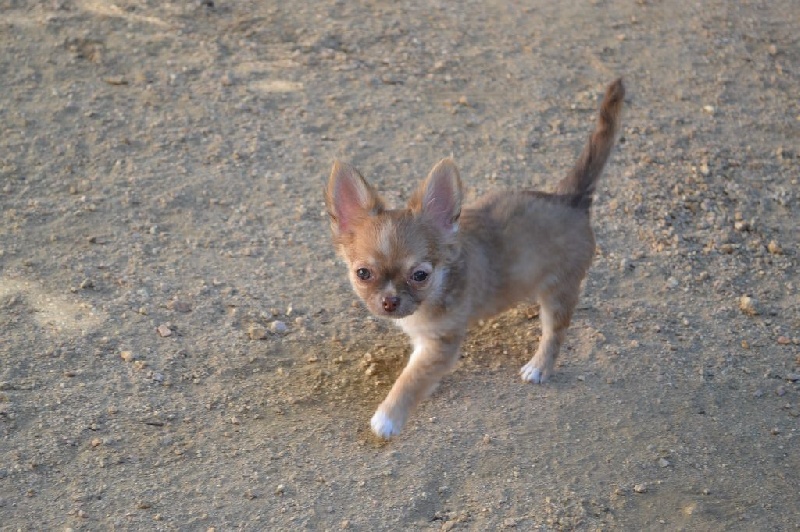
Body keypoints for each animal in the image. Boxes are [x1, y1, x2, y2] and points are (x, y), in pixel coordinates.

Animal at [325, 78, 624, 439]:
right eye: (363, 273)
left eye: (420, 275)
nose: (389, 301)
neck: (437, 290)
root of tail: (570, 198)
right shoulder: (425, 341)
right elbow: (418, 371)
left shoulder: (441, 343)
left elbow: (411, 379)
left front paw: (389, 416)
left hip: (560, 292)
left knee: (555, 333)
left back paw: (539, 367)